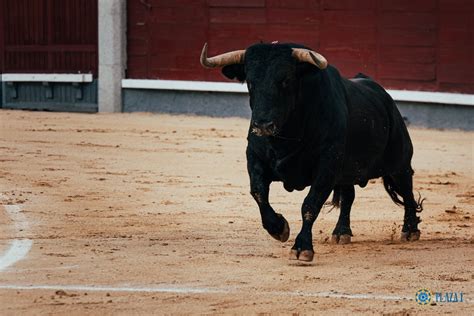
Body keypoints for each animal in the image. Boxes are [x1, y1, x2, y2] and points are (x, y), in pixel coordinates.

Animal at [200, 43, 422, 262]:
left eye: (286, 80)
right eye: (250, 82)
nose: (263, 125)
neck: (286, 137)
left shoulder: (327, 165)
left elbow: (310, 205)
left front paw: (302, 247)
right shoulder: (255, 157)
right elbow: (259, 193)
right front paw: (278, 228)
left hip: (400, 162)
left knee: (407, 191)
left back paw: (410, 230)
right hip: (347, 171)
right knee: (349, 196)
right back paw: (341, 232)